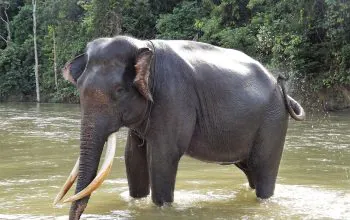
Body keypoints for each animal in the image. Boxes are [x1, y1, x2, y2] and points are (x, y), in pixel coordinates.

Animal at [53, 35, 304, 219]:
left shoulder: (173, 98)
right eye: (79, 89)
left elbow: (162, 158)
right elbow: (133, 158)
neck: (143, 46)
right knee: (251, 171)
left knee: (264, 171)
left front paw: (162, 208)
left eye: (119, 91)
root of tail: (284, 92)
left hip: (272, 122)